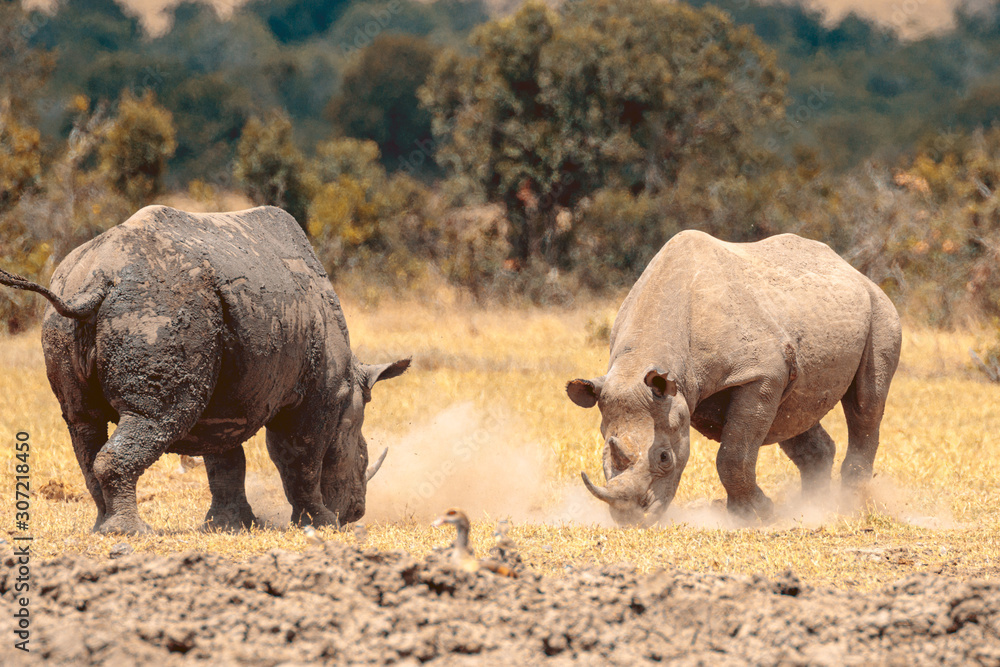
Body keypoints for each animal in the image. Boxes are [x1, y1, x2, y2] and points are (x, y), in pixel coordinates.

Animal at [0, 205, 409, 534]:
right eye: (363, 456)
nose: (355, 513)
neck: (349, 386)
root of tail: (97, 278)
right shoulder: (317, 395)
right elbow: (299, 457)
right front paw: (320, 523)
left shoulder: (226, 400)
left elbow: (226, 460)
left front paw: (232, 526)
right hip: (160, 305)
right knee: (156, 417)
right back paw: (132, 533)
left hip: (81, 311)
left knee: (82, 420)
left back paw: (103, 528)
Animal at [567, 230, 901, 525]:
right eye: (604, 454)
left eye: (664, 458)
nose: (631, 519)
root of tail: (852, 269)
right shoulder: (689, 389)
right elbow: (739, 445)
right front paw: (744, 514)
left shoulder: (760, 374)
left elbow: (732, 455)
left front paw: (758, 514)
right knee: (793, 414)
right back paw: (812, 507)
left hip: (881, 310)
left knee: (866, 405)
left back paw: (849, 503)